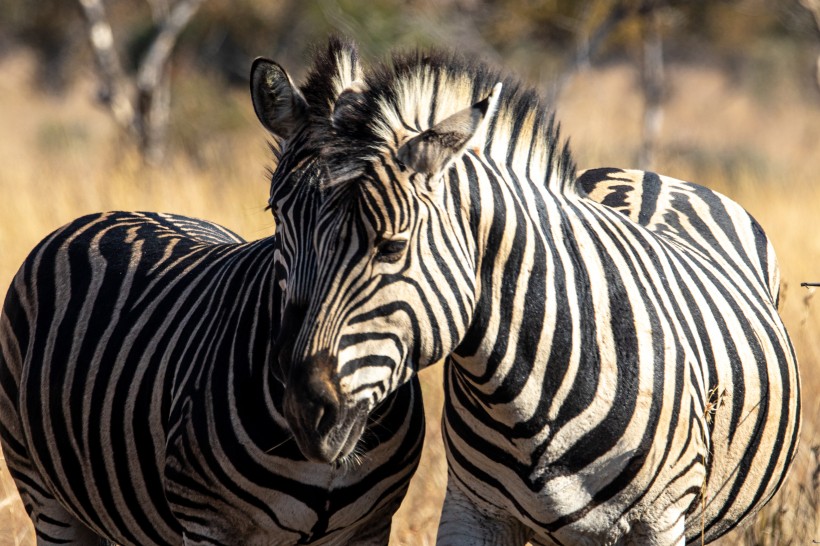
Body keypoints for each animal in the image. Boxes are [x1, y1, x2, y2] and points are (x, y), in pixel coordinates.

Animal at [0, 39, 422, 544]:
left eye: (383, 231)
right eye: (276, 210)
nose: (303, 385)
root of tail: (118, 210)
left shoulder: (371, 526)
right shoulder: (208, 523)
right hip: (44, 493)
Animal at [260, 40, 804, 540]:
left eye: (391, 246)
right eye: (278, 221)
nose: (303, 409)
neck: (525, 398)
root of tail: (650, 175)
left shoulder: (660, 522)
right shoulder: (473, 510)